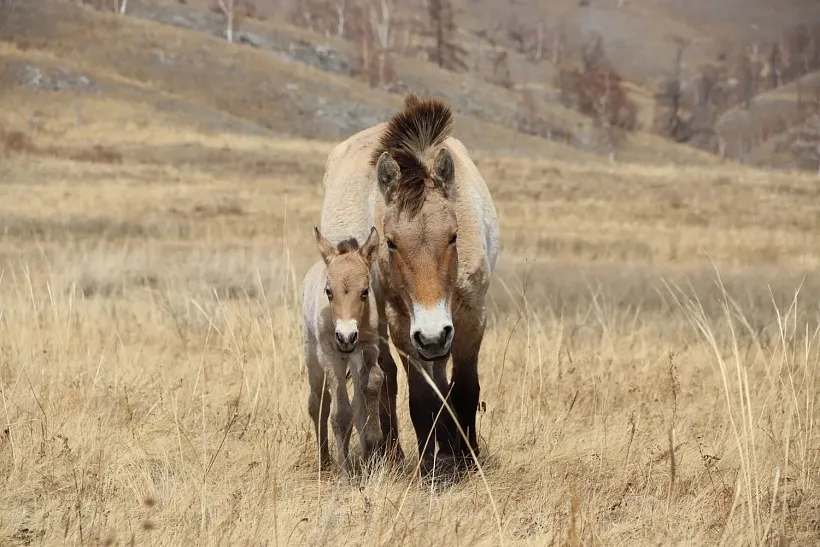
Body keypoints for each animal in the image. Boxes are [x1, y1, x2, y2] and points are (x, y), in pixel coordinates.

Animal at [301, 225, 384, 478]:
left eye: (365, 291)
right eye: (329, 292)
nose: (346, 337)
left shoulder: (368, 347)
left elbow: (372, 386)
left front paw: (373, 448)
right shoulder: (331, 354)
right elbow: (340, 414)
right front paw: (344, 476)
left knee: (355, 404)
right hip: (313, 356)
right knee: (318, 403)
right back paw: (325, 461)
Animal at [319, 94, 501, 476]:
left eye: (453, 236)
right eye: (390, 243)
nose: (432, 335)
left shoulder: (471, 317)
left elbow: (464, 389)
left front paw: (467, 459)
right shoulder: (404, 326)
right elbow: (420, 396)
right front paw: (432, 465)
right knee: (386, 379)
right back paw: (394, 452)